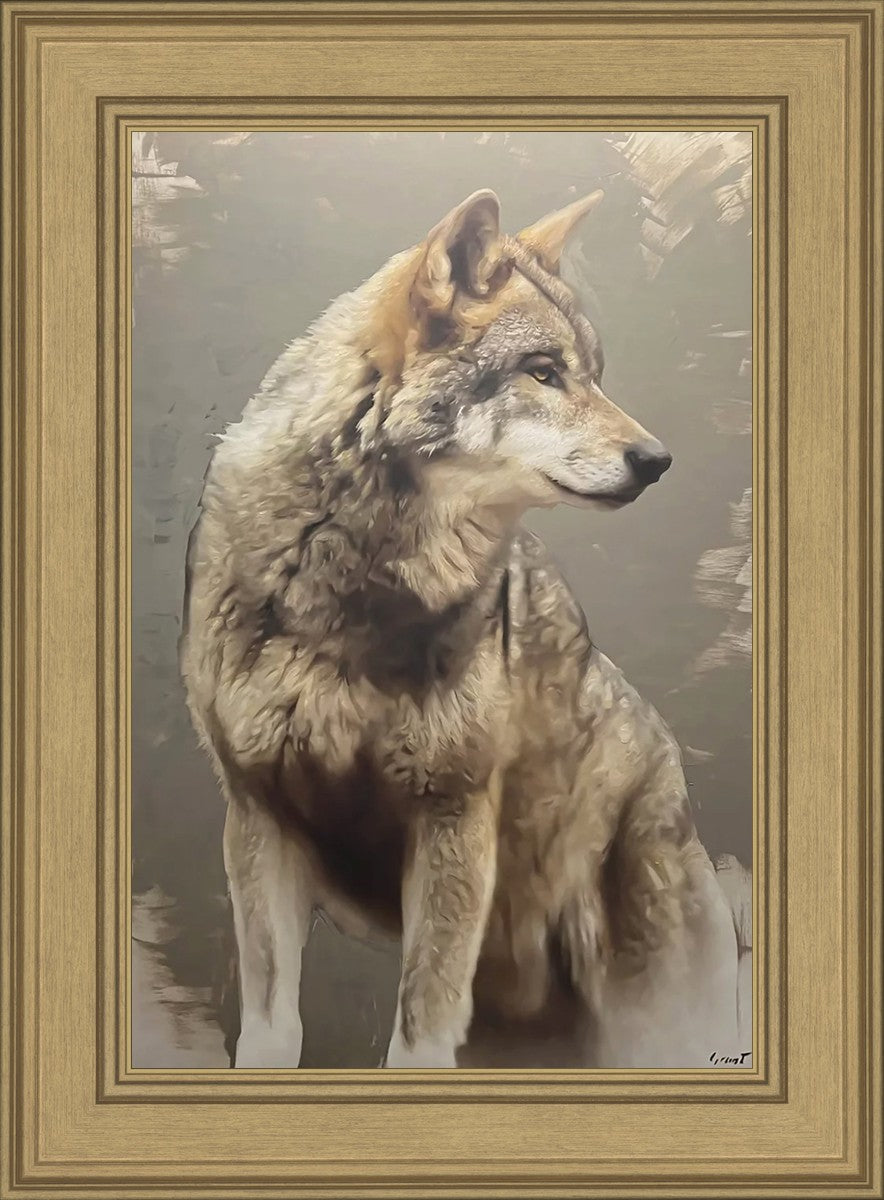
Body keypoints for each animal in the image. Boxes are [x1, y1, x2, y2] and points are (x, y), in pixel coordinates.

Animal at [181, 187, 748, 1069]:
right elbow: (274, 1030)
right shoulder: (258, 818)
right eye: (544, 372)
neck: (348, 589)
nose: (657, 461)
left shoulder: (453, 820)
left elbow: (417, 1036)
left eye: (594, 374)